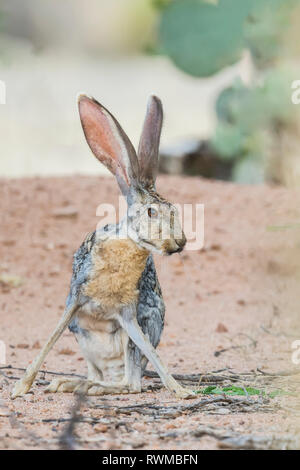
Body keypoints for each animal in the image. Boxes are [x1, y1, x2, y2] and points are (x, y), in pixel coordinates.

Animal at [11, 93, 195, 398]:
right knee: (108, 376)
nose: (179, 243)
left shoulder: (129, 314)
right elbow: (50, 339)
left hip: (141, 324)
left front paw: (180, 390)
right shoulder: (75, 299)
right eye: (151, 212)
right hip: (81, 334)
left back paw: (87, 386)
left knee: (129, 382)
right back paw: (70, 383)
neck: (130, 246)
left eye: (175, 211)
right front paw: (21, 387)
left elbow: (153, 357)